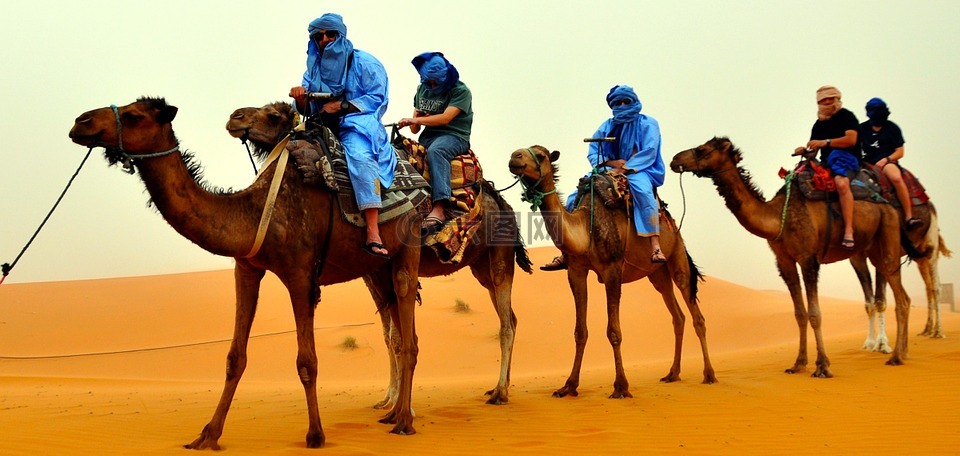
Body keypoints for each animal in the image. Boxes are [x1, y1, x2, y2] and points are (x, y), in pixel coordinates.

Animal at [69, 97, 422, 448]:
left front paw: (315, 435)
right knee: (397, 322)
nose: (80, 122)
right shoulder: (247, 268)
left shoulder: (300, 274)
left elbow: (306, 361)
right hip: (379, 266)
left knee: (407, 322)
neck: (255, 210)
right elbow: (234, 358)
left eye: (132, 116)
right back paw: (393, 413)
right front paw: (208, 435)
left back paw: (404, 421)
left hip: (409, 242)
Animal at [229, 101, 536, 404]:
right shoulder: (373, 270)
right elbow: (390, 335)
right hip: (480, 265)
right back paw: (501, 387)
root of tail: (502, 202)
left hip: (500, 255)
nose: (235, 118)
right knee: (510, 316)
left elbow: (397, 335)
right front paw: (388, 398)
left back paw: (500, 392)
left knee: (506, 323)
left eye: (272, 115)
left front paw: (396, 401)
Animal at [506, 146, 716, 400]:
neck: (585, 229)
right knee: (678, 316)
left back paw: (709, 374)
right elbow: (580, 331)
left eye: (541, 155)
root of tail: (672, 223)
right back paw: (672, 373)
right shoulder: (576, 271)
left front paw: (621, 386)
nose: (515, 157)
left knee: (696, 314)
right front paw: (569, 386)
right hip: (657, 274)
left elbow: (614, 331)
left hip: (677, 255)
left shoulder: (612, 270)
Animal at [668, 136, 924, 378]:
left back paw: (896, 356)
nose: (674, 159)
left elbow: (815, 313)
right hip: (872, 249)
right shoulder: (784, 261)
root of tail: (888, 204)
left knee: (901, 299)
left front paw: (822, 366)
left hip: (887, 238)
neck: (777, 216)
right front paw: (799, 363)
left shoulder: (808, 257)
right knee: (904, 297)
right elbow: (799, 314)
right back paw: (903, 353)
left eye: (702, 149)